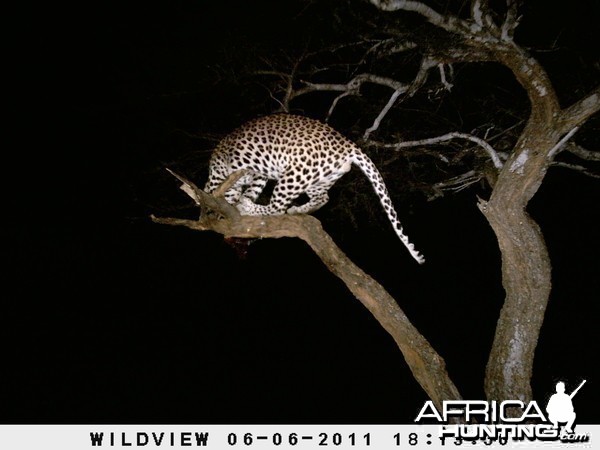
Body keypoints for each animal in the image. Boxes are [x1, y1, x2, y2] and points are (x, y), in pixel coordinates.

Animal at [204, 114, 424, 266]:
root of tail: (347, 145)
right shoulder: (256, 175)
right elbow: (249, 189)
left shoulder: (232, 174)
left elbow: (220, 192)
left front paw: (228, 206)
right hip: (318, 179)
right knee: (323, 198)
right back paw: (298, 209)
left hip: (294, 173)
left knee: (277, 207)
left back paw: (250, 207)